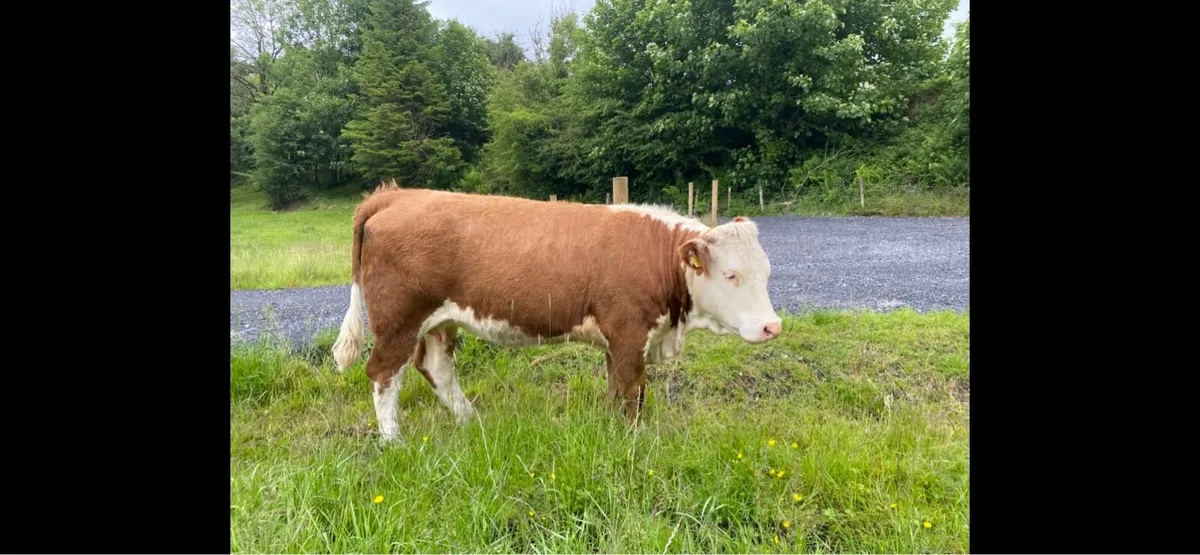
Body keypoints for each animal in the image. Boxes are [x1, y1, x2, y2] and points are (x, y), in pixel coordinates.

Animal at [331, 180, 782, 443]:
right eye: (730, 275)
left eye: (766, 271)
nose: (771, 326)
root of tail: (397, 194)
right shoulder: (629, 331)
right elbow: (632, 390)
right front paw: (632, 438)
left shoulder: (617, 338)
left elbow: (615, 387)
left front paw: (612, 428)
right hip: (399, 320)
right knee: (384, 373)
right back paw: (393, 440)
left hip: (441, 320)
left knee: (437, 368)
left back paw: (469, 419)